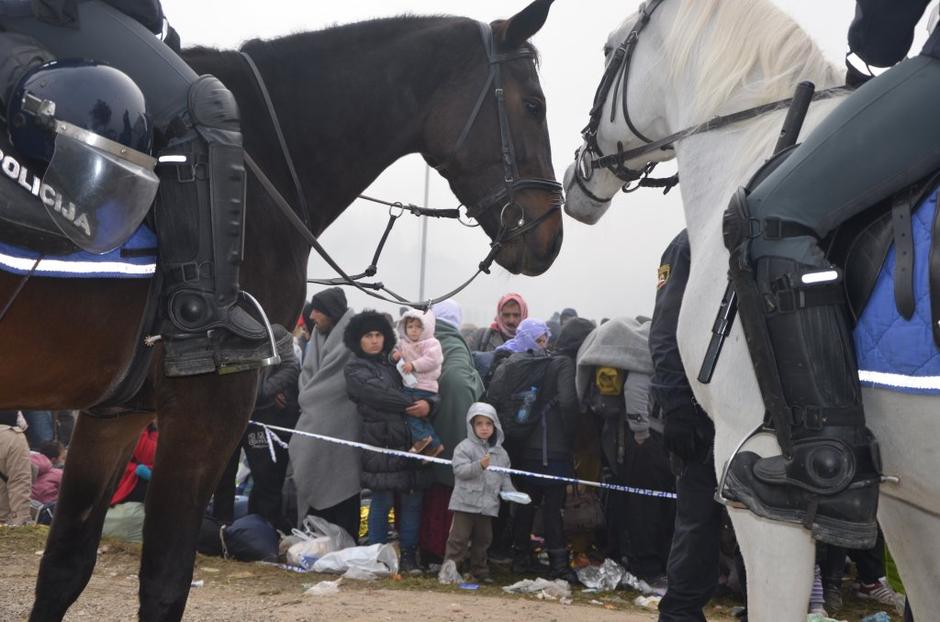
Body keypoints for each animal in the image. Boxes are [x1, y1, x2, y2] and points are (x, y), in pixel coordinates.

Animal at [0, 2, 560, 620]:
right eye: (534, 106)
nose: (550, 236)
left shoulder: (115, 412)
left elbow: (64, 568)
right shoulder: (210, 401)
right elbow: (164, 580)